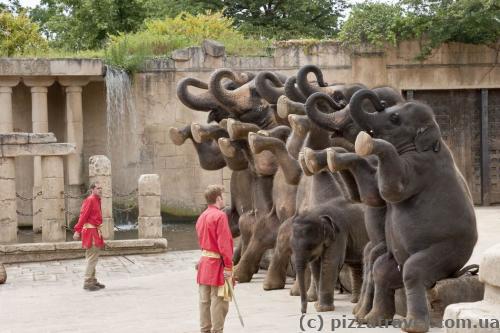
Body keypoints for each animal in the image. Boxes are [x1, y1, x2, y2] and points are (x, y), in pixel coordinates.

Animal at [346, 88, 478, 332]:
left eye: (395, 118)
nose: (378, 101)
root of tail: (455, 273)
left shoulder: (420, 167)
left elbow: (392, 190)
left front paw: (369, 143)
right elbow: (378, 195)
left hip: (446, 252)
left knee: (413, 272)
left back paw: (411, 326)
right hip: (400, 259)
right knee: (383, 271)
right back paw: (373, 321)